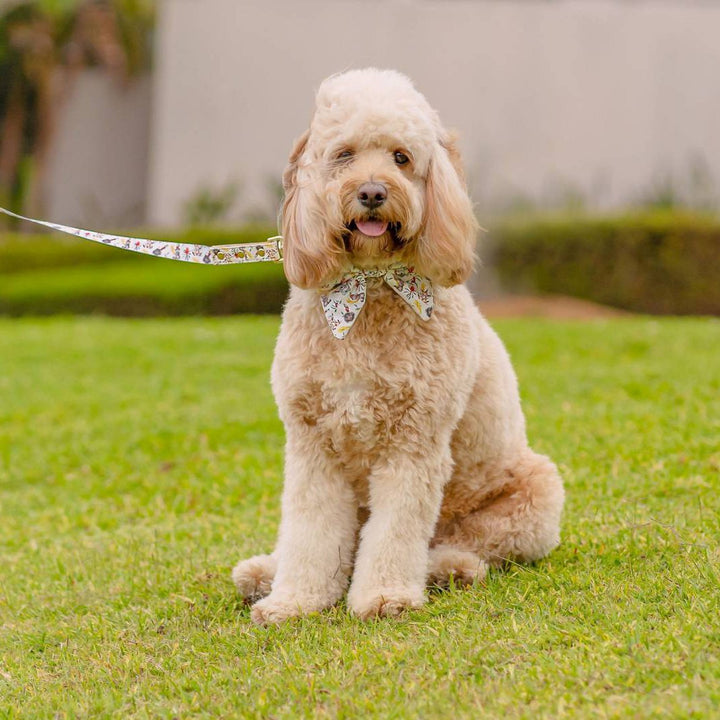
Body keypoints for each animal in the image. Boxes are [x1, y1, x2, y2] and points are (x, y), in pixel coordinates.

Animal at [233, 66, 564, 624]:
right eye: (344, 154)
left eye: (401, 158)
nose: (371, 192)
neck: (367, 290)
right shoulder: (312, 448)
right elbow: (310, 532)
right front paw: (294, 600)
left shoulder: (414, 444)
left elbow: (395, 532)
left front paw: (385, 597)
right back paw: (263, 573)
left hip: (533, 492)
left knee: (471, 546)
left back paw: (447, 568)